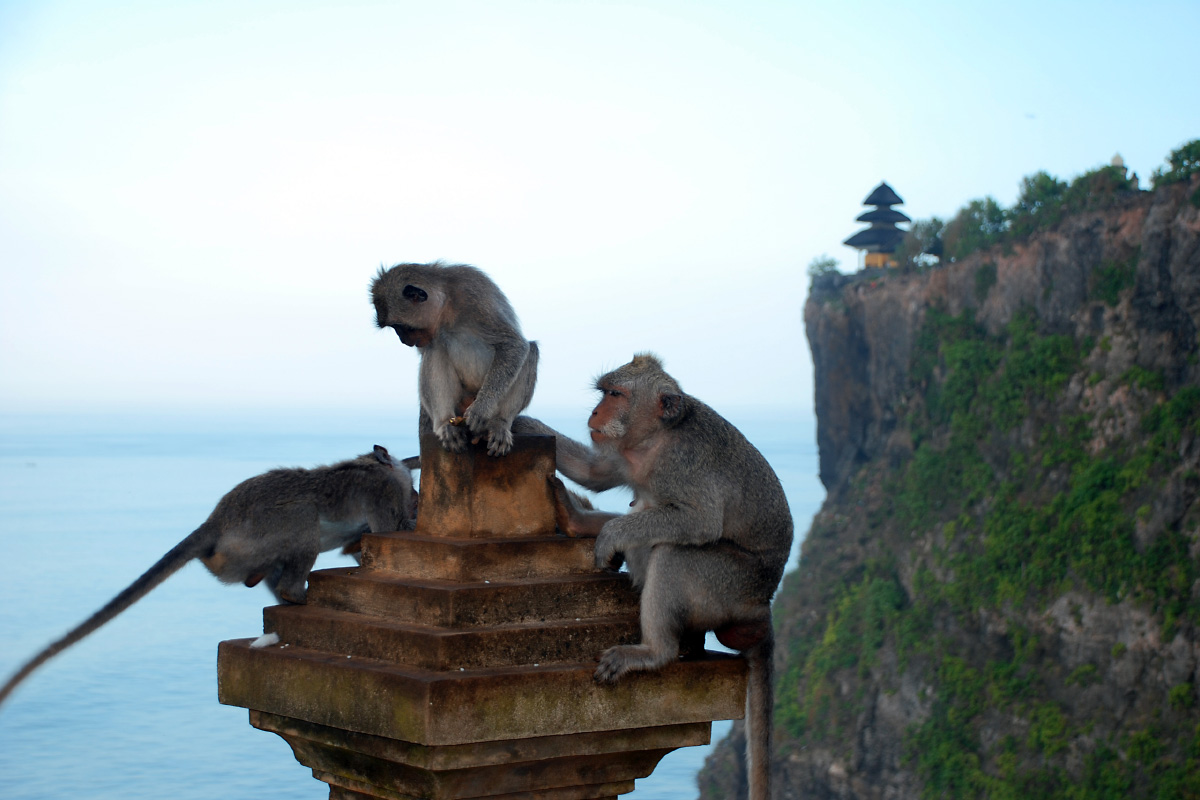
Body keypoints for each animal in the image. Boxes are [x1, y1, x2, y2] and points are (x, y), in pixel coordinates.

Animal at [0, 445, 418, 710]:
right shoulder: (381, 492)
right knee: (303, 518)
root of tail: (215, 522)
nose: (413, 487)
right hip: (261, 532)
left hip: (245, 552)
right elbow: (384, 530)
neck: (372, 467)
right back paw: (294, 593)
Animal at [371, 261, 538, 457]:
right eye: (396, 328)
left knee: (531, 351)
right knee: (435, 349)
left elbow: (513, 344)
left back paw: (500, 423)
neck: (446, 305)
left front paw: (481, 409)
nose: (403, 340)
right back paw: (445, 423)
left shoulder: (473, 295)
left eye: (401, 327)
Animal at [514, 354, 792, 800]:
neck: (654, 440)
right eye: (604, 393)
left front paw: (611, 535)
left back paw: (653, 651)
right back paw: (578, 521)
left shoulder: (683, 465)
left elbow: (700, 521)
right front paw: (520, 423)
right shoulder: (622, 453)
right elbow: (596, 471)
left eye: (616, 395)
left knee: (674, 552)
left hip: (729, 586)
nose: (596, 414)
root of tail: (761, 605)